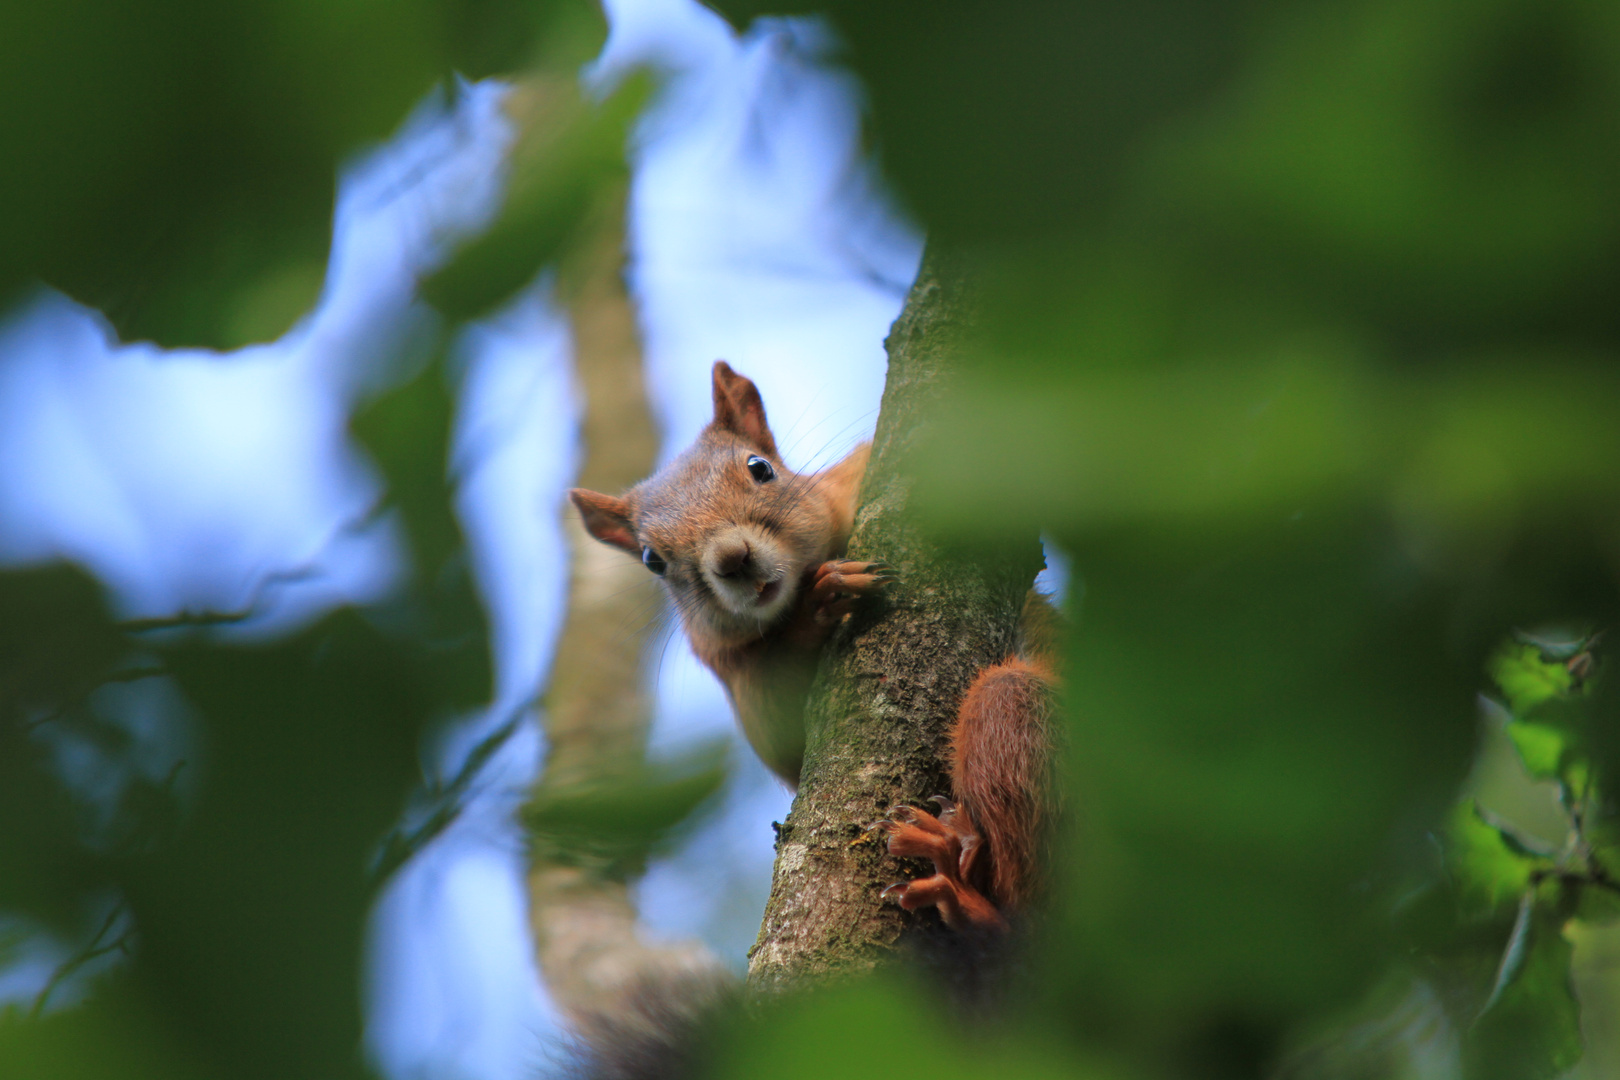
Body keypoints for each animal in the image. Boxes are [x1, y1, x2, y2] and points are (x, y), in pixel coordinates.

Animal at [573, 365, 1062, 939]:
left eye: (760, 468)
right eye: (652, 559)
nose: (732, 559)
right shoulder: (733, 671)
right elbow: (784, 734)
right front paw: (821, 599)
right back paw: (962, 889)